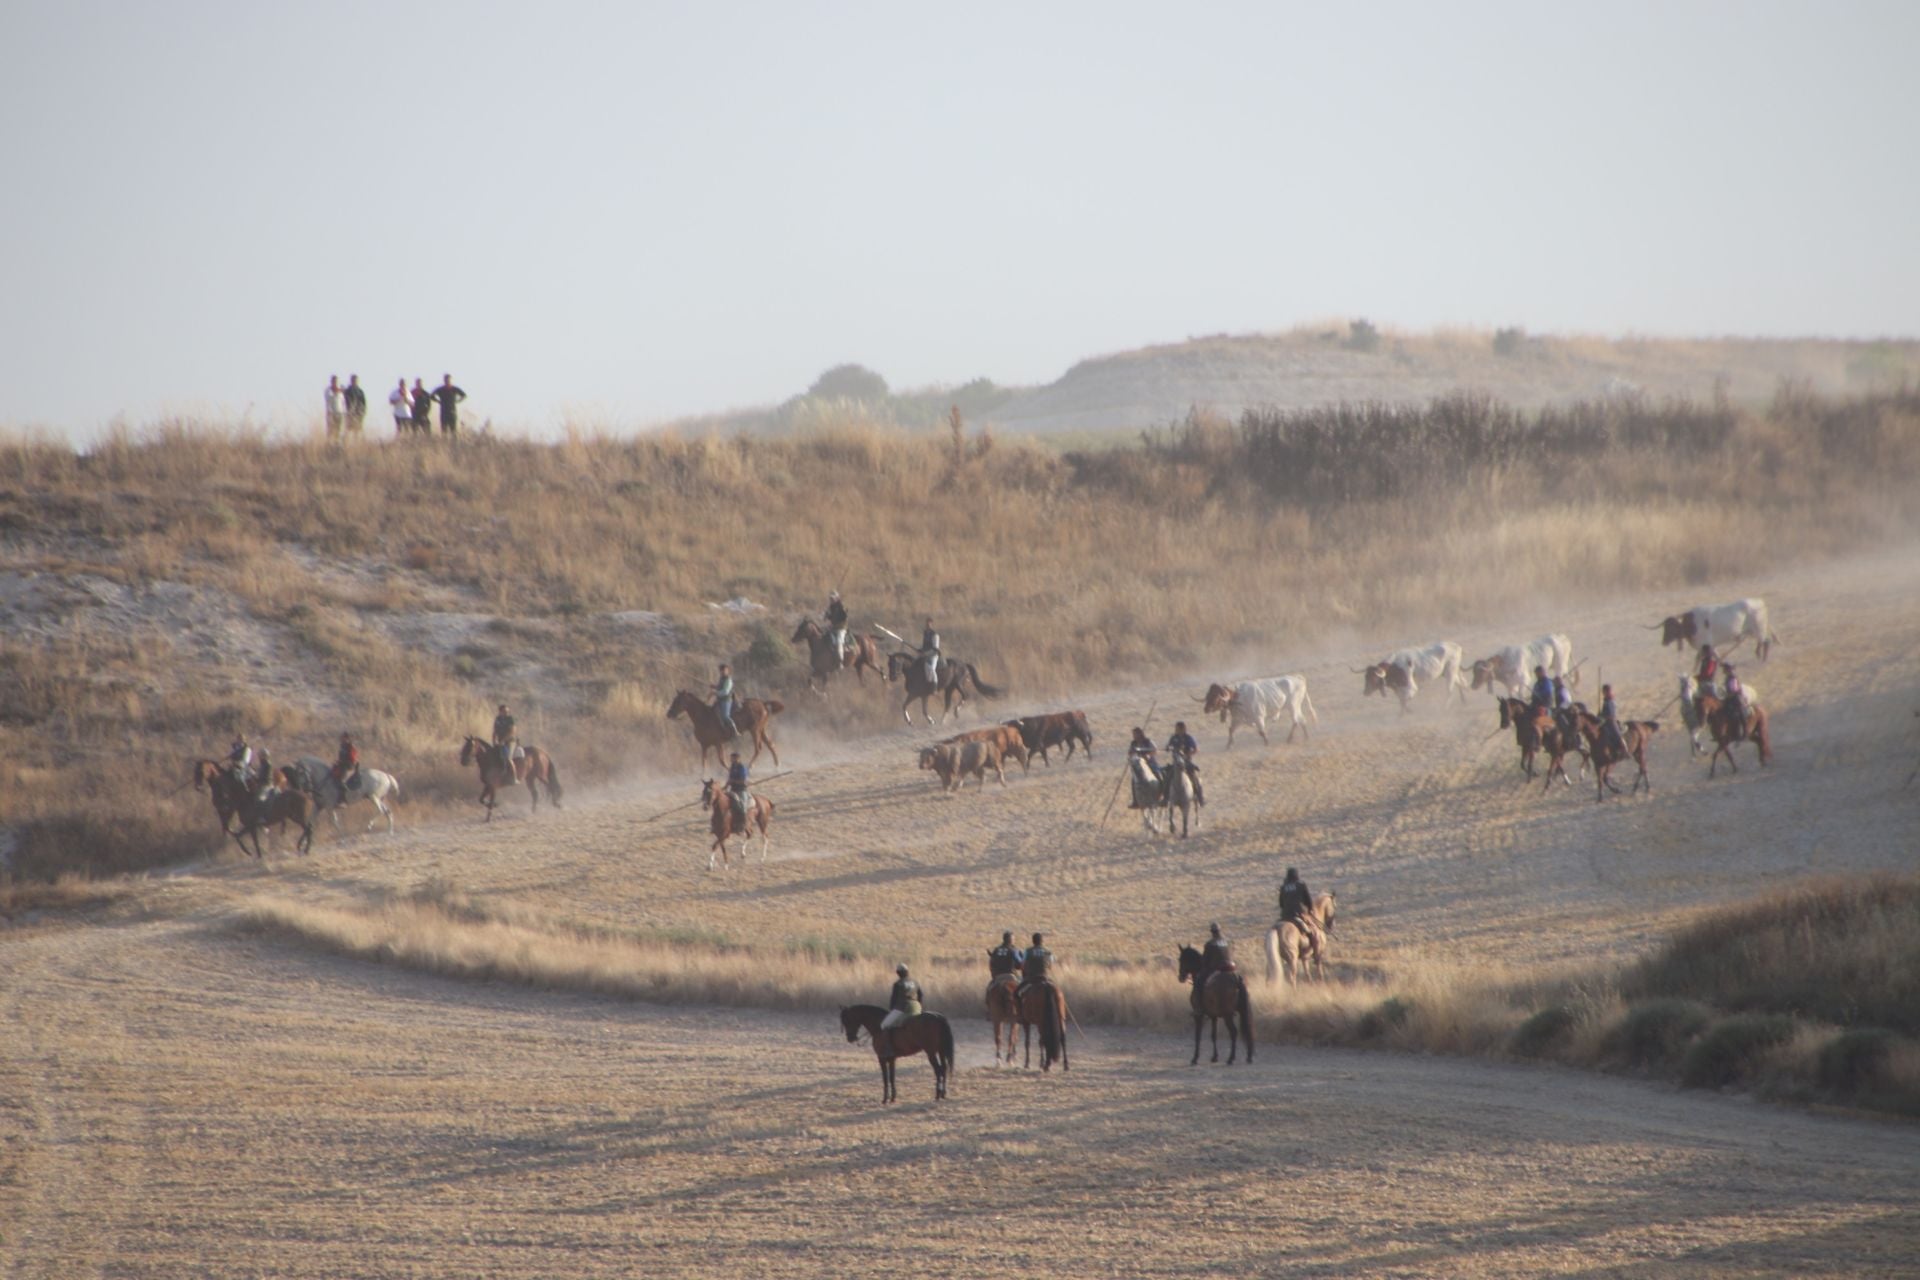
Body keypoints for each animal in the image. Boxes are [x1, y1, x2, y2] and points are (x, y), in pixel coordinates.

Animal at [1651, 598, 1781, 660]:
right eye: (1665, 627)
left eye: (1670, 628)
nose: (1663, 642)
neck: (1691, 624)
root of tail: (1760, 602)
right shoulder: (1710, 647)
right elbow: (1716, 658)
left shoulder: (1706, 646)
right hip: (1755, 632)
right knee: (1762, 643)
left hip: (1759, 630)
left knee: (1766, 642)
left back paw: (1762, 660)